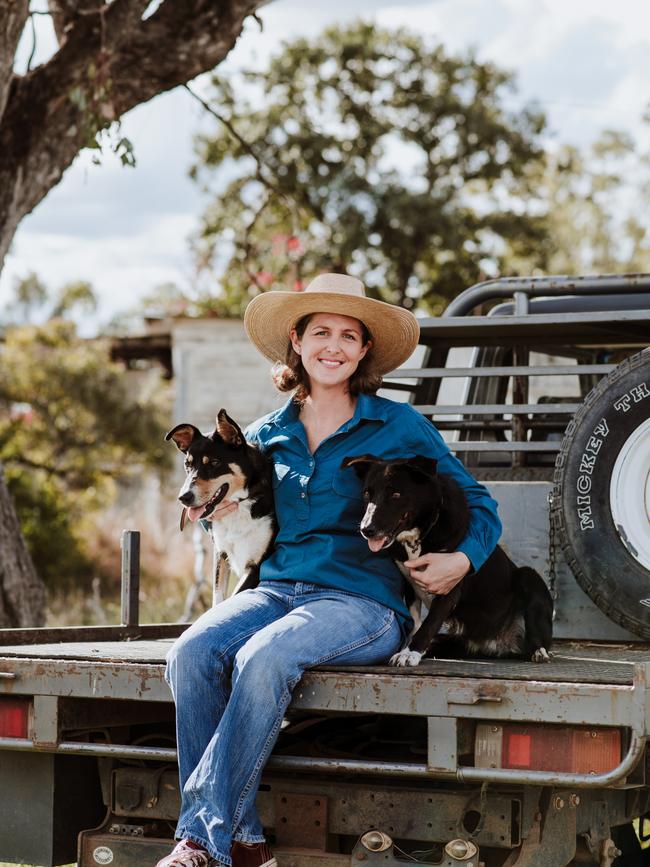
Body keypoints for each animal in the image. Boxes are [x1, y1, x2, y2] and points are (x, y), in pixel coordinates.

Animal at [166, 410, 274, 600]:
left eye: (215, 463)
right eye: (188, 464)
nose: (183, 497)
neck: (239, 505)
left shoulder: (255, 567)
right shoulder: (221, 554)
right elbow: (218, 599)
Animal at [340, 454, 552, 672]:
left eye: (396, 494)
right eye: (367, 494)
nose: (366, 530)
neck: (417, 537)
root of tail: (500, 643)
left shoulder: (449, 582)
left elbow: (429, 623)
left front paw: (410, 653)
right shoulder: (408, 582)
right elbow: (415, 621)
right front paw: (409, 648)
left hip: (529, 578)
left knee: (535, 638)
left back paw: (539, 651)